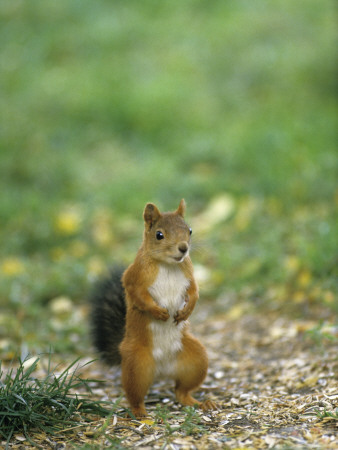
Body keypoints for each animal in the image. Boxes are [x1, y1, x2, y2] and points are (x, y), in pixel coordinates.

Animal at [90, 199, 217, 416]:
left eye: (189, 230)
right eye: (159, 235)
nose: (183, 248)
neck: (168, 265)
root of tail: (162, 371)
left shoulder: (189, 275)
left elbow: (194, 292)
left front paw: (186, 311)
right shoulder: (133, 277)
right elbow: (138, 297)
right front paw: (158, 312)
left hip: (196, 360)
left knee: (181, 390)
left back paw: (199, 403)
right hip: (137, 366)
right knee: (135, 394)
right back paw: (140, 412)